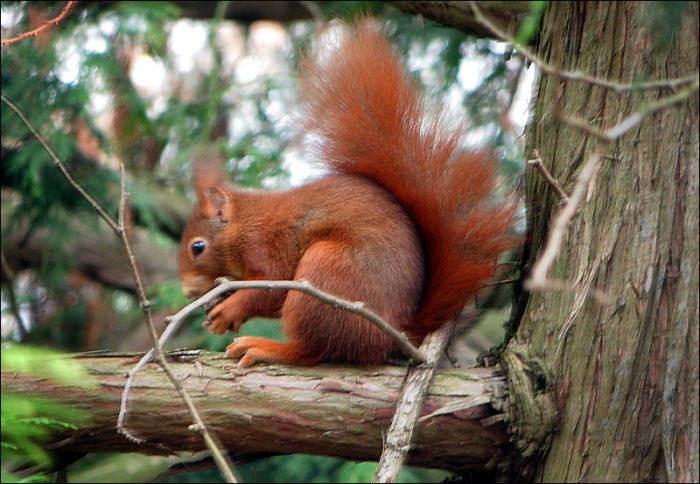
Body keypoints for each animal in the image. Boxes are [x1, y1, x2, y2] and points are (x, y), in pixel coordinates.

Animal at [178, 19, 517, 368]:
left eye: (198, 247)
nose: (187, 290)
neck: (245, 223)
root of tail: (393, 331)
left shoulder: (268, 249)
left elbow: (268, 291)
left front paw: (230, 308)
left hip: (327, 275)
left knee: (312, 349)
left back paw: (267, 348)